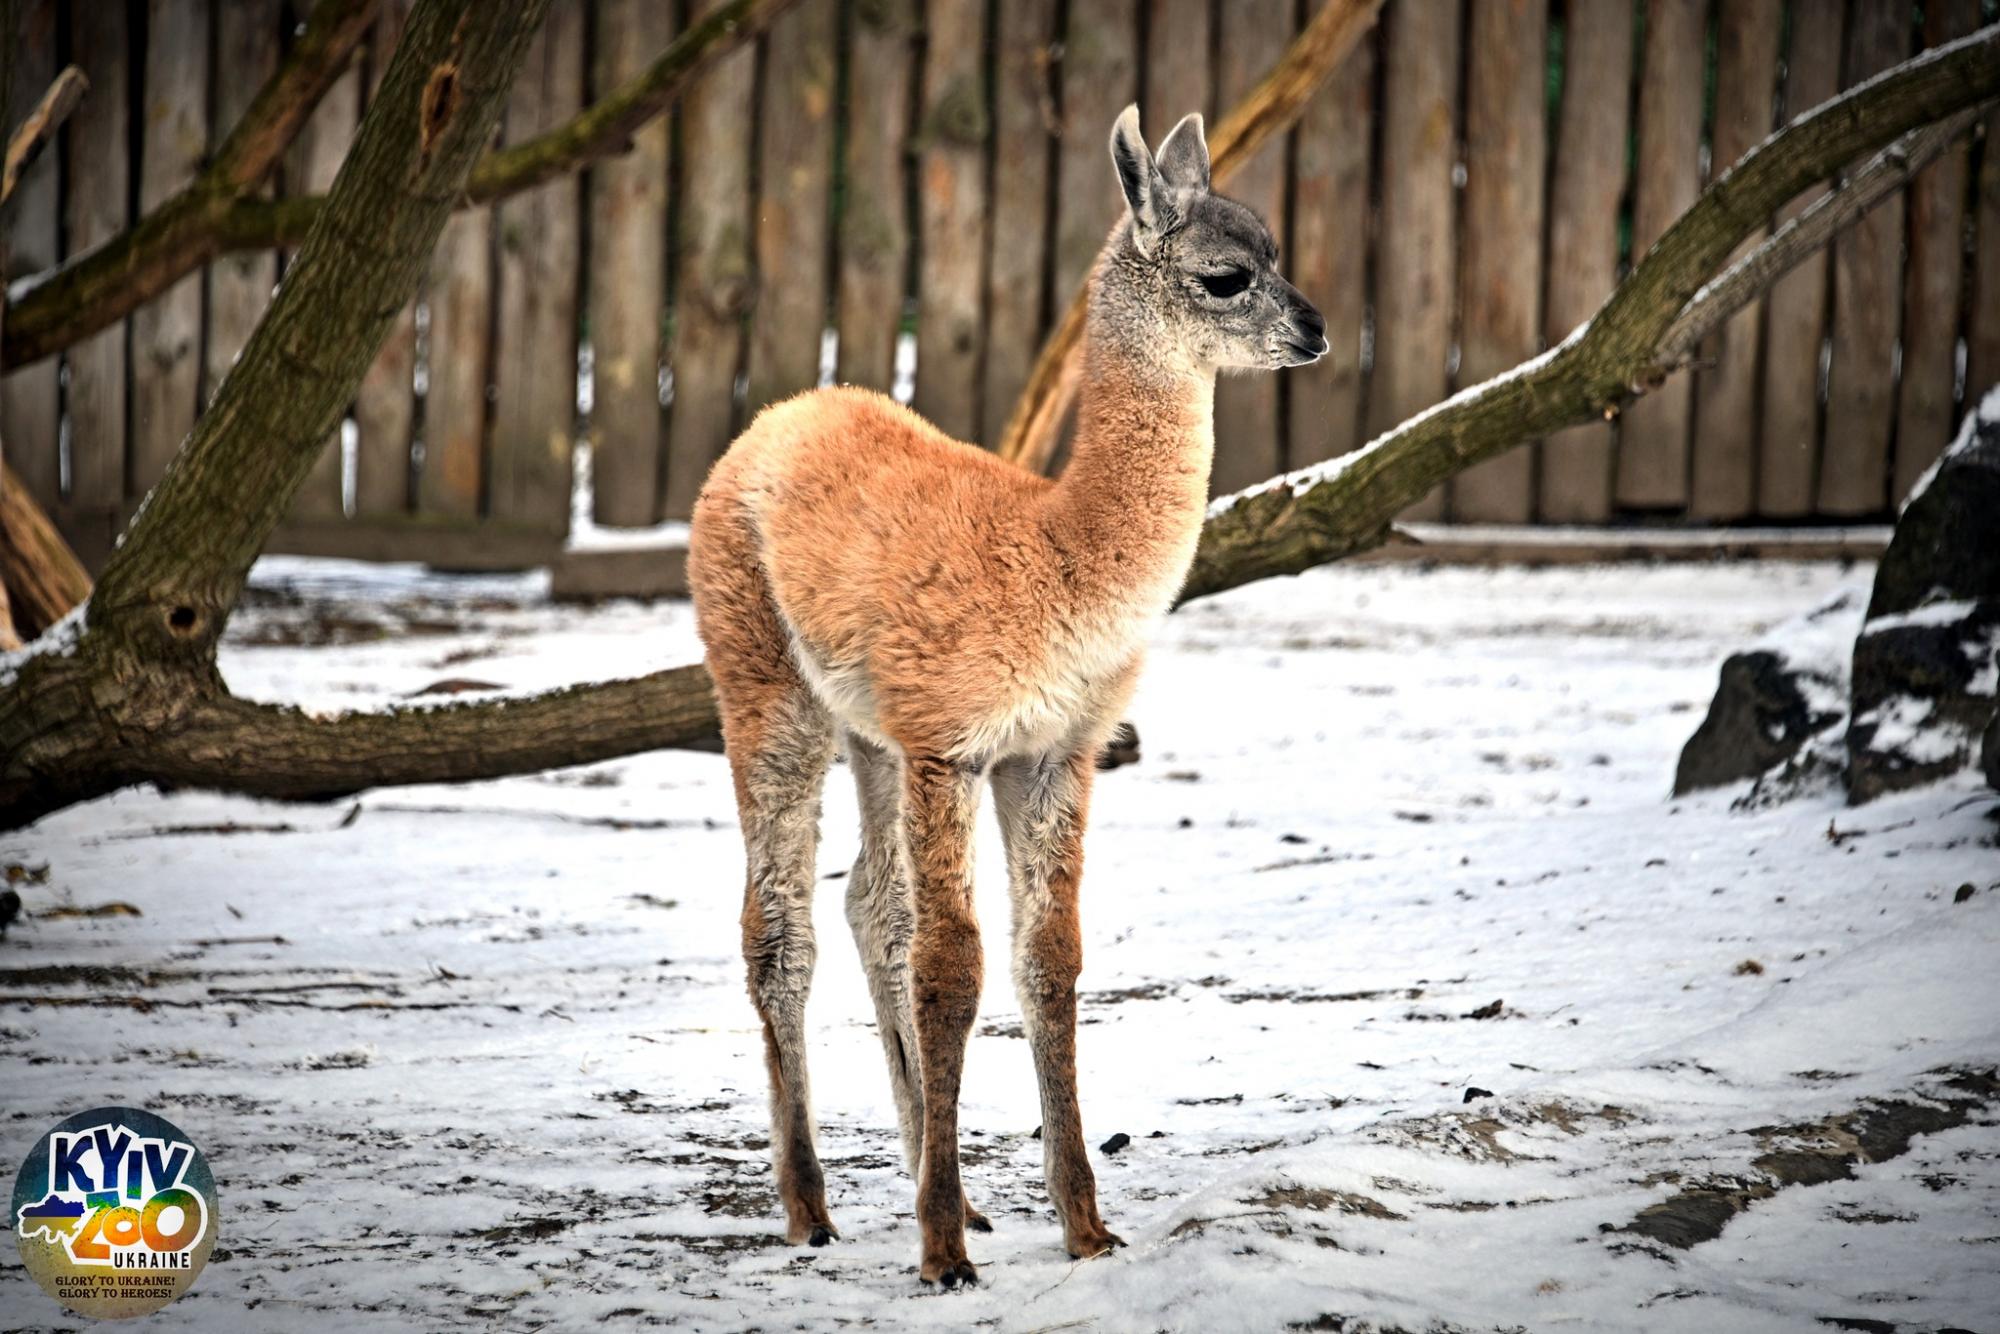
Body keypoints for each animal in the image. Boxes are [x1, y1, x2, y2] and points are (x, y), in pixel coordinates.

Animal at [688, 109, 1328, 1288]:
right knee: (778, 927)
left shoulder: (1053, 749)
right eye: (1226, 275)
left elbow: (1047, 963)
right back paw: (810, 1205)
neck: (1058, 550)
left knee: (870, 907)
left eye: (1277, 248)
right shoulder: (954, 738)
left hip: (871, 731)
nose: (1314, 329)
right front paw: (940, 1252)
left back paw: (933, 1178)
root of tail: (777, 415)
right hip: (763, 679)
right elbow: (955, 969)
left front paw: (1082, 1225)